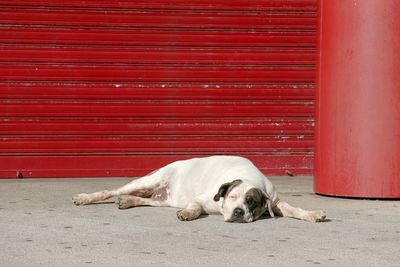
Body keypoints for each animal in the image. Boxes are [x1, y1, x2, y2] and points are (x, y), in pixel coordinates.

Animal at [72, 156, 324, 223]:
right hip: (148, 181)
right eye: (232, 197)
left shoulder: (275, 201)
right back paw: (85, 198)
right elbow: (194, 207)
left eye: (251, 201)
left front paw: (313, 214)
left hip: (162, 198)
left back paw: (128, 201)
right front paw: (187, 213)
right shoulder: (202, 199)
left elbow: (294, 209)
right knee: (110, 191)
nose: (239, 212)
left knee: (147, 200)